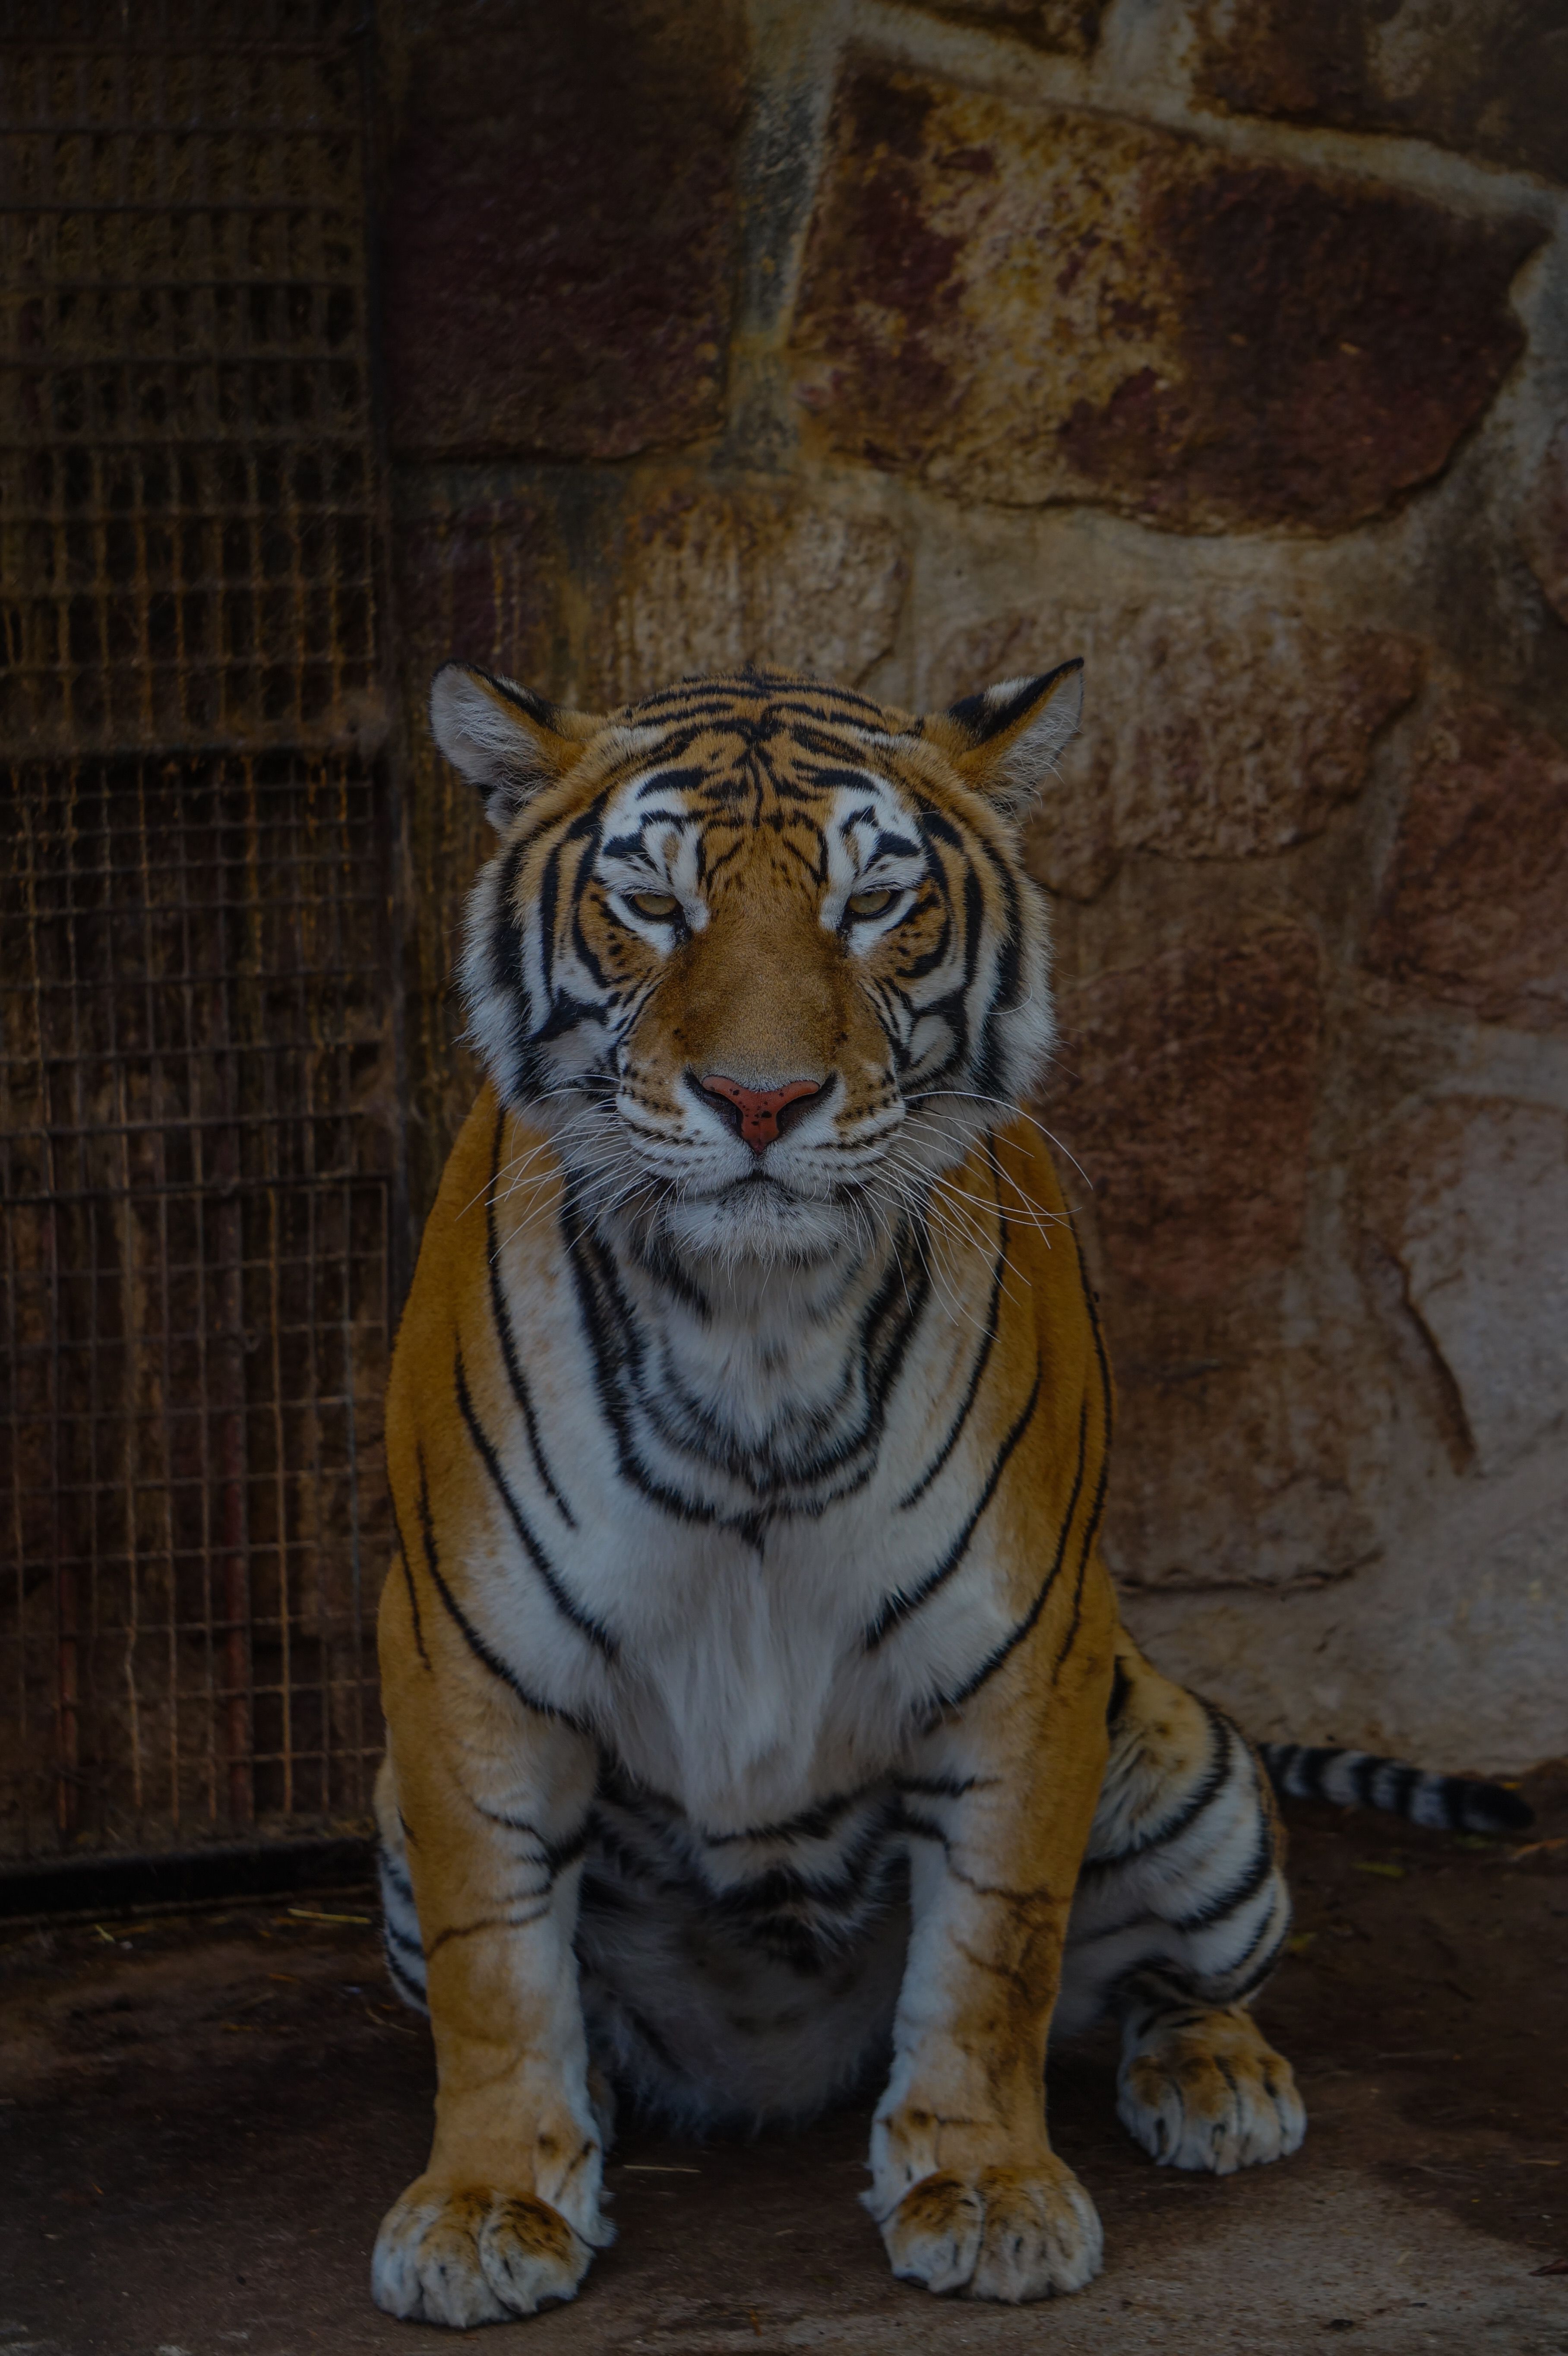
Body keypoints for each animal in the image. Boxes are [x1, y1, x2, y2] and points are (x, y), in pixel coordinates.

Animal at [370, 658, 1530, 2329]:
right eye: (651, 901)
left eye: (874, 903)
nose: (763, 1099)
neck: (753, 1327)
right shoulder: (464, 1655)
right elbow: (495, 1966)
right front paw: (487, 2202)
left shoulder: (1023, 1647)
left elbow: (993, 1953)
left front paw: (983, 2189)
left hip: (1191, 1772)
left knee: (1181, 1983)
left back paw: (1218, 2083)